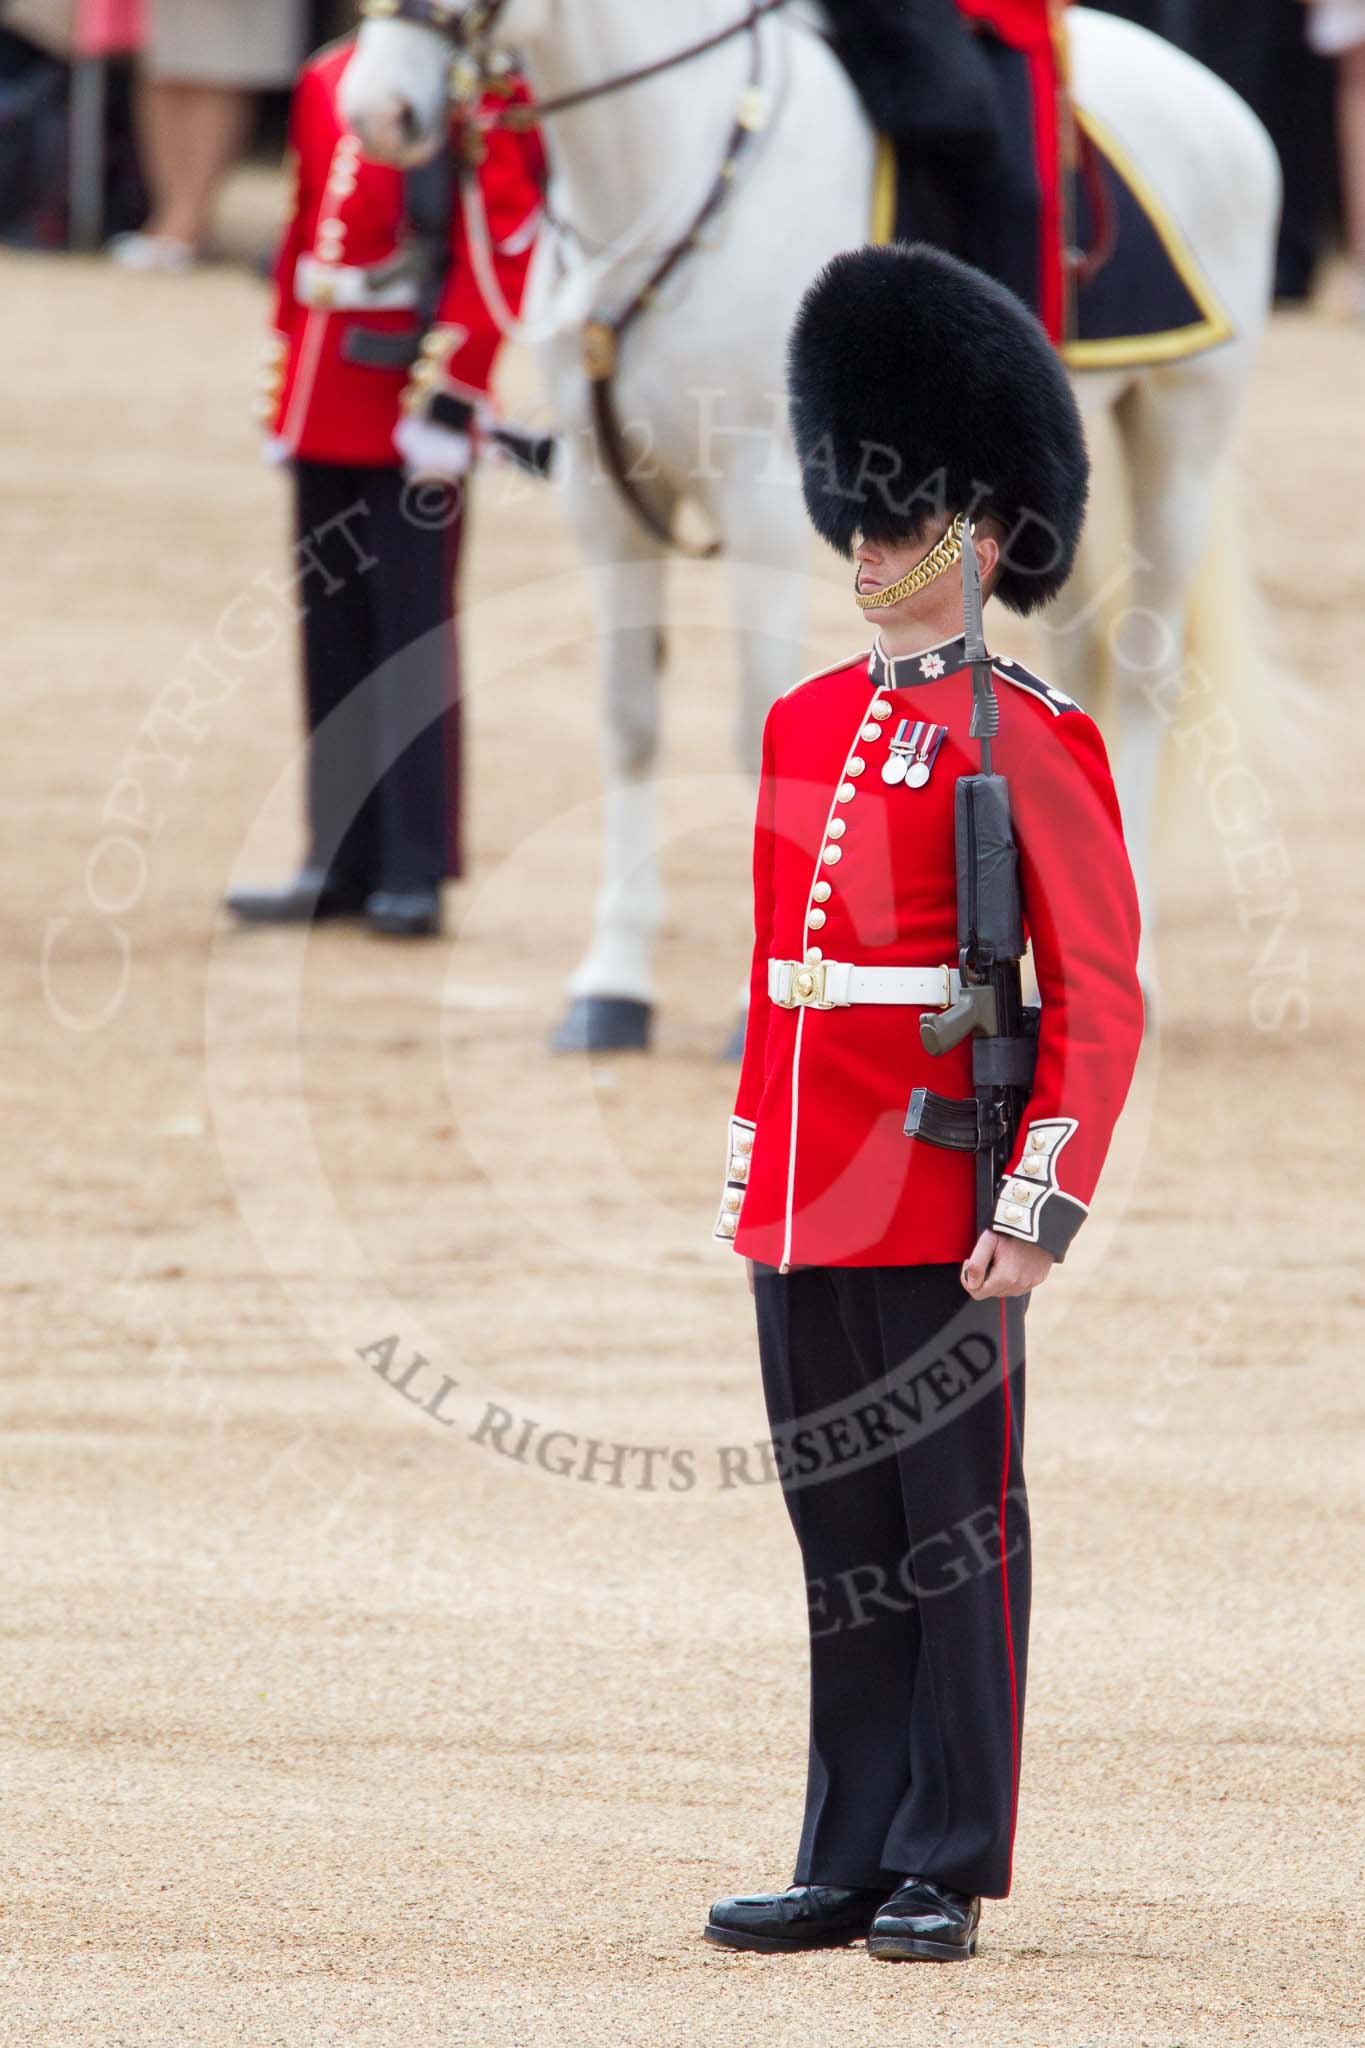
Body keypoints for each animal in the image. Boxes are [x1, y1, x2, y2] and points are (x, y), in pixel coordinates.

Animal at [341, 0, 1285, 1048]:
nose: (379, 113)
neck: (666, 168)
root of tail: (1217, 103)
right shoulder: (604, 499)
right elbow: (629, 723)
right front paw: (613, 981)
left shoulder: (762, 495)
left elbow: (756, 720)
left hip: (1176, 439)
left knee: (1145, 670)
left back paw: (1137, 973)